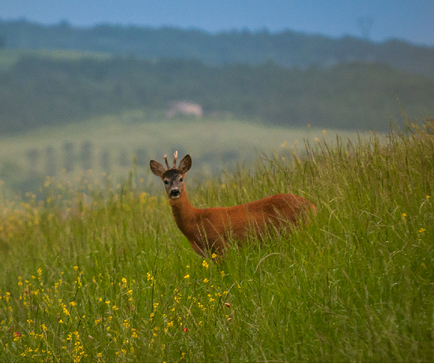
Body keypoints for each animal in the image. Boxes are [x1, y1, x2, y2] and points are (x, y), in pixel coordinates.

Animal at [149, 151, 316, 256]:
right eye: (165, 181)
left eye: (181, 178)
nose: (175, 191)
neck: (196, 221)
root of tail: (311, 205)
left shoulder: (221, 245)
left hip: (294, 229)